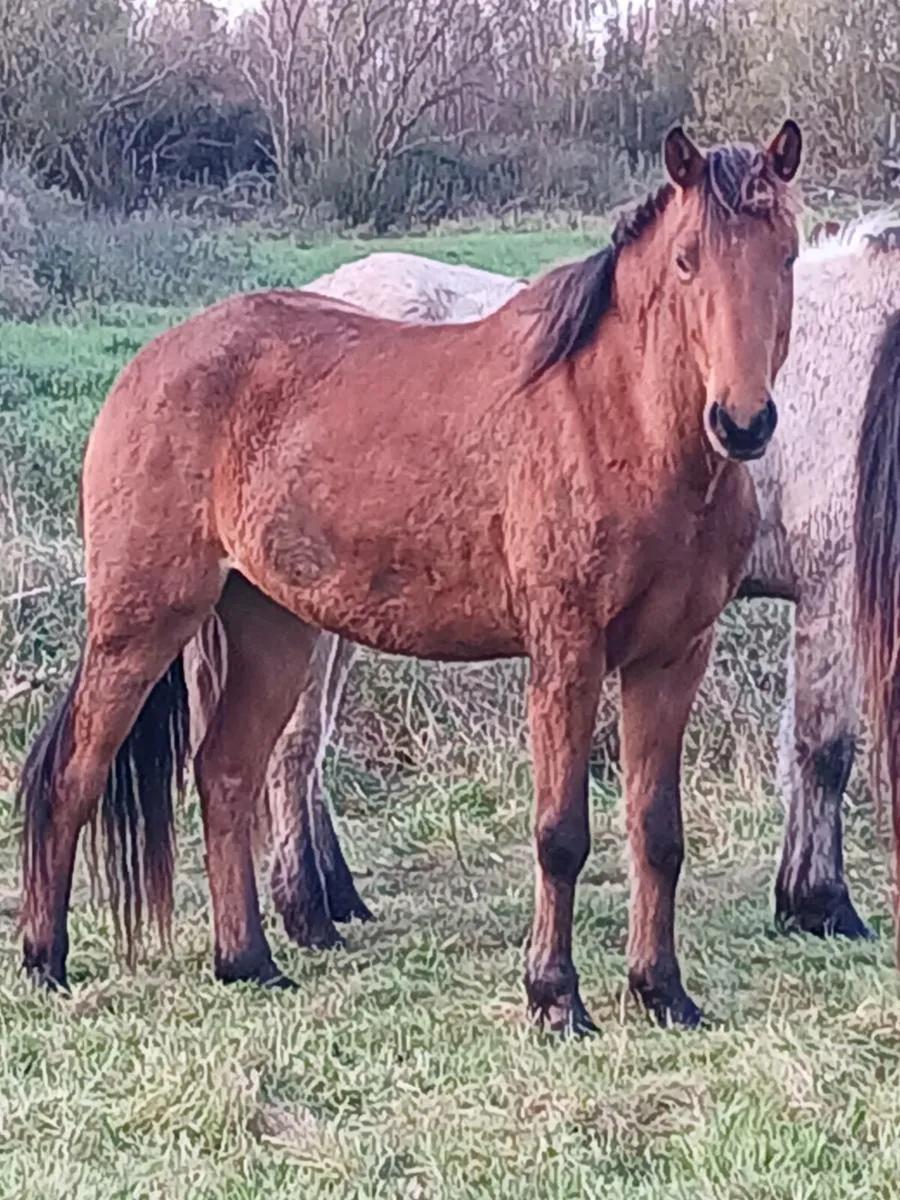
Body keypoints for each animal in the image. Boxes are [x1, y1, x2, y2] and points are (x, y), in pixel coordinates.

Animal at [18, 122, 803, 1033]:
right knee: (74, 773)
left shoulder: (671, 659)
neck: (621, 427)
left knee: (227, 776)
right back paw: (46, 961)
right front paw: (554, 996)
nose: (742, 423)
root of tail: (150, 363)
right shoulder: (566, 654)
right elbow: (561, 834)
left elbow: (657, 831)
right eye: (686, 259)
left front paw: (662, 991)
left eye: (786, 251)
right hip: (141, 621)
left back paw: (248, 962)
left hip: (270, 627)